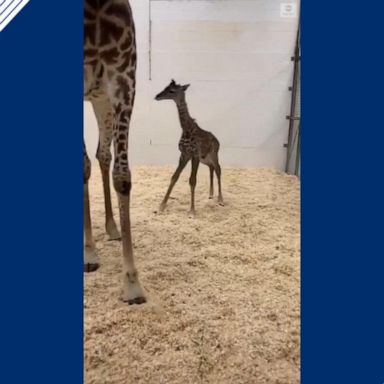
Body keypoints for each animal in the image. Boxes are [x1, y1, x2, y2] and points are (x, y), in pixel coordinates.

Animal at [154, 79, 224, 216]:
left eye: (172, 91)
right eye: (165, 87)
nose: (157, 96)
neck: (186, 129)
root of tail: (217, 140)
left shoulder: (194, 154)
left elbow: (192, 180)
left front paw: (192, 210)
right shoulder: (184, 154)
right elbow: (174, 177)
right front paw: (161, 206)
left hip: (213, 154)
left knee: (218, 169)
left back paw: (220, 199)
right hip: (204, 158)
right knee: (211, 168)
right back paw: (211, 194)